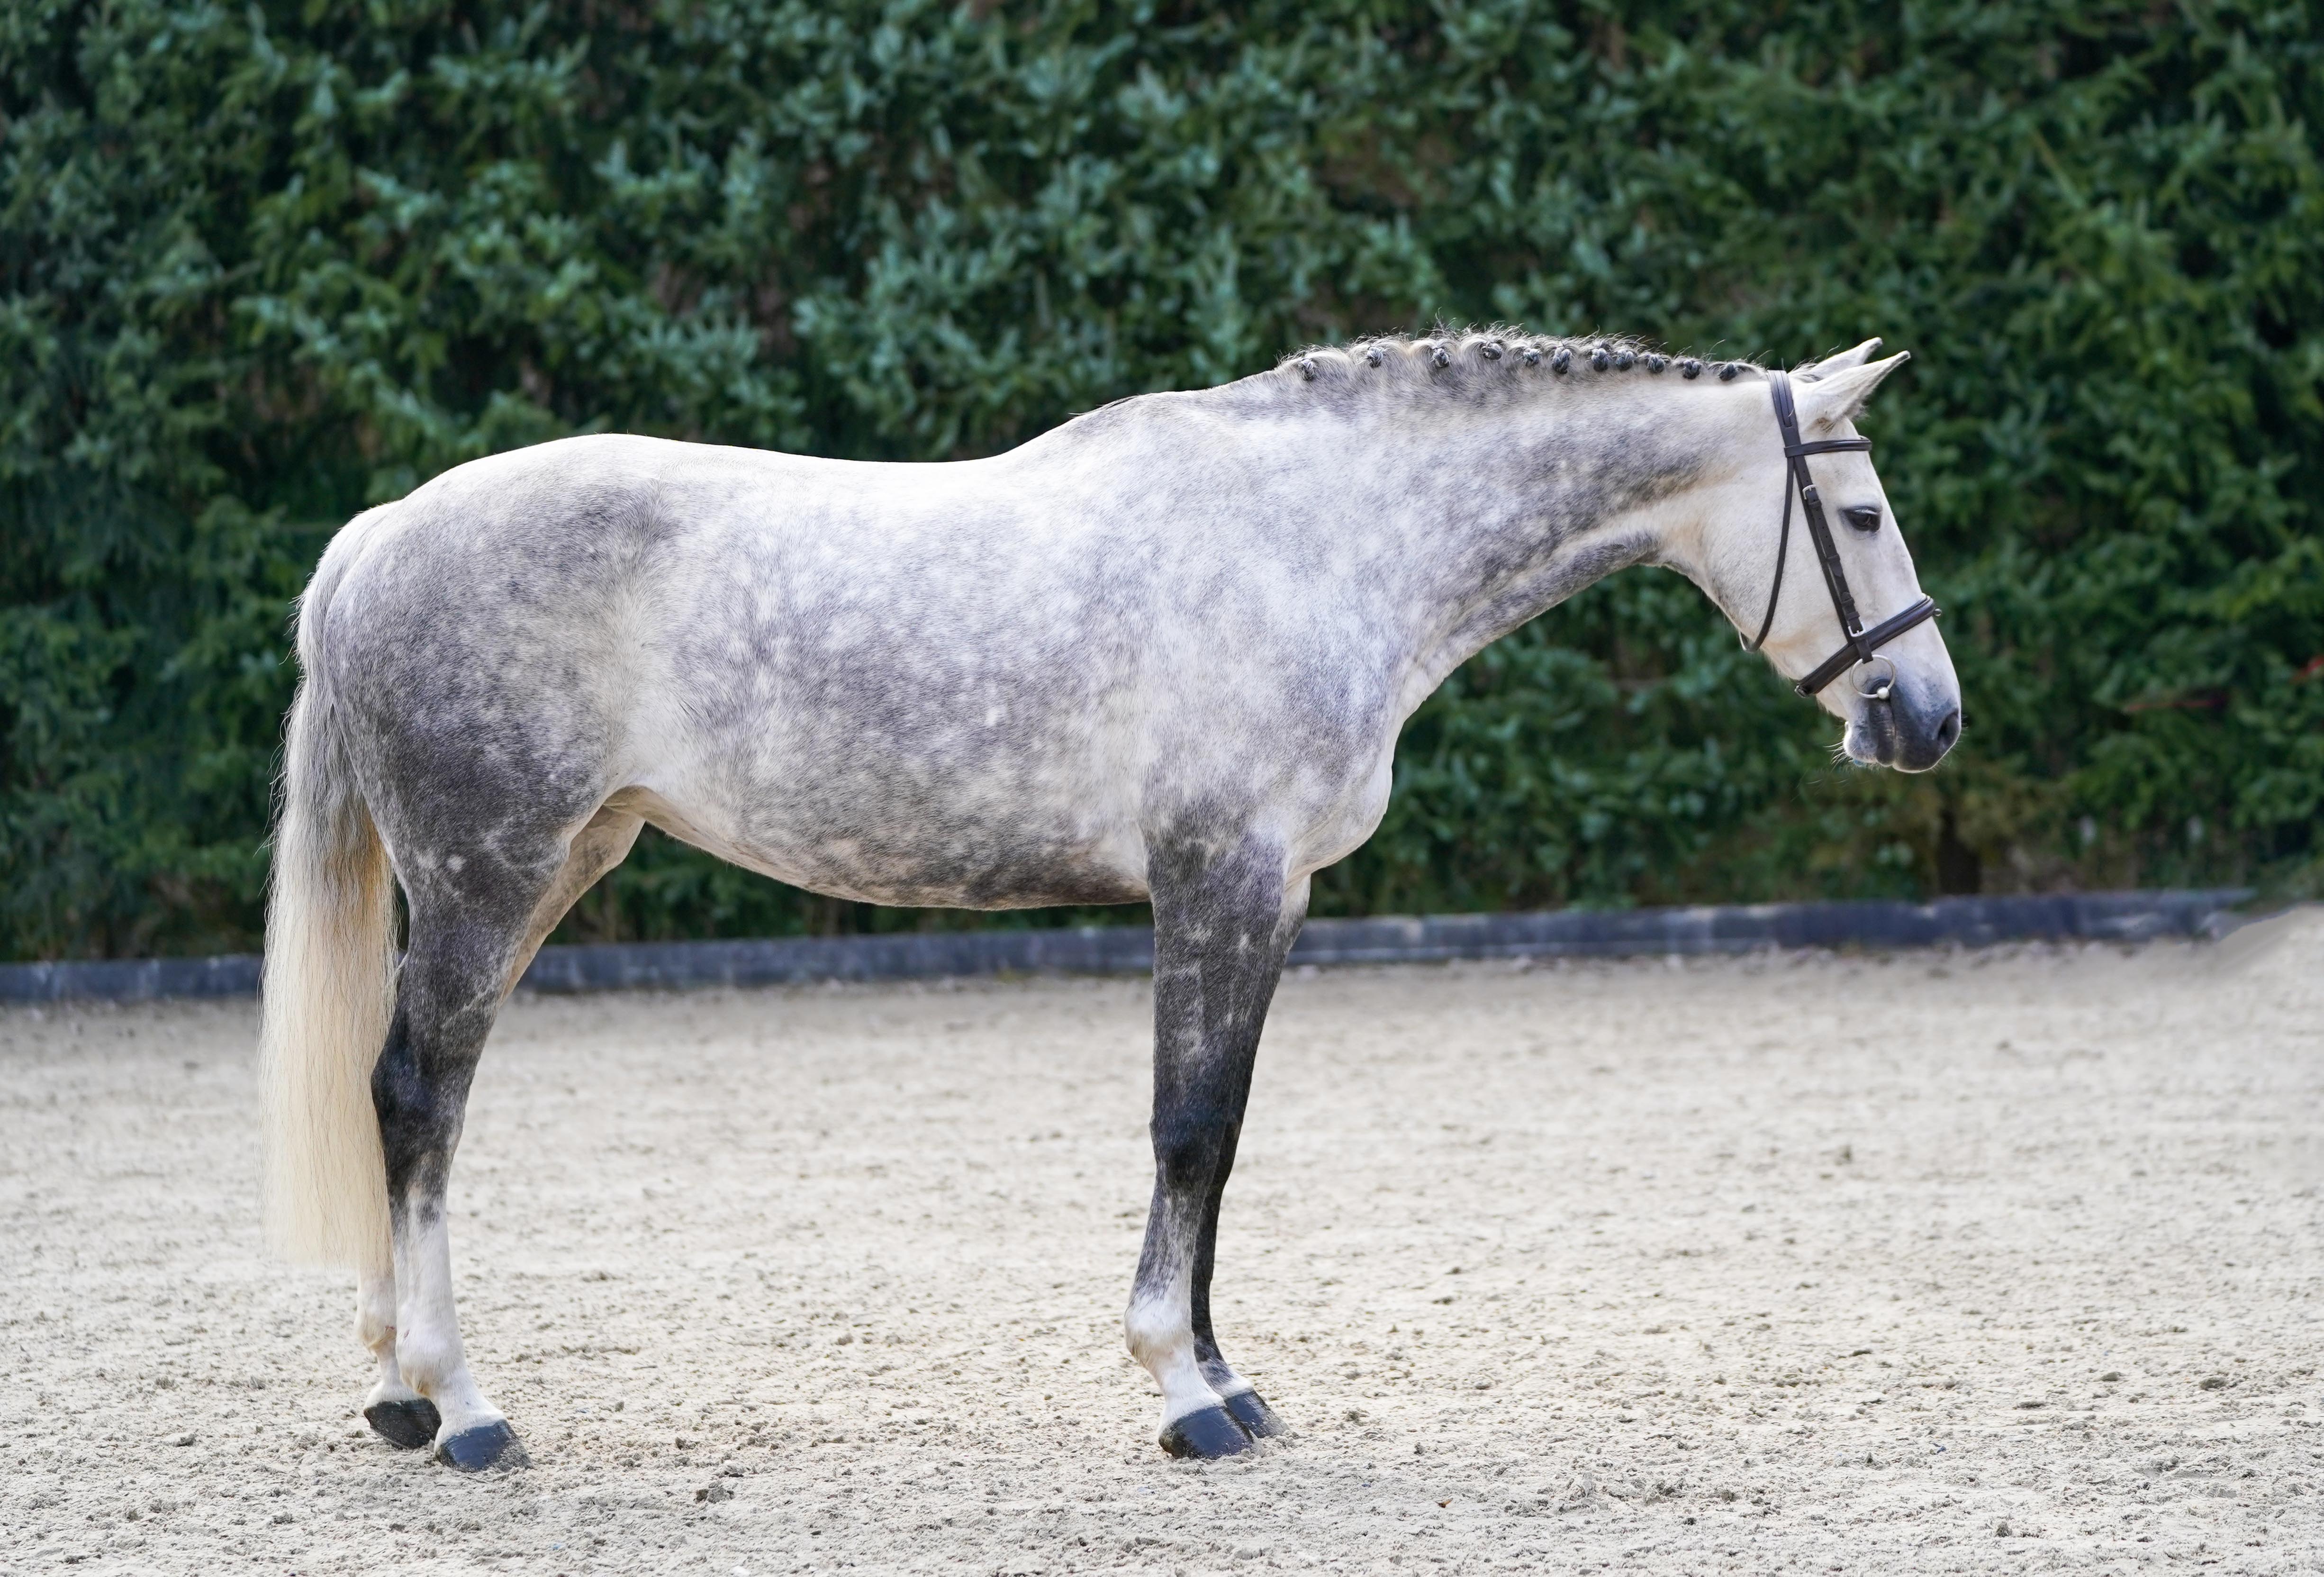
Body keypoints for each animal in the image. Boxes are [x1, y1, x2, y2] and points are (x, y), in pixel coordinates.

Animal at [259, 329, 1960, 1470]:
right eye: (1864, 516)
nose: (1929, 718)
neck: (1318, 545)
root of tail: (373, 540)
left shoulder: (1263, 900)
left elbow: (1222, 1135)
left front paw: (1227, 1378)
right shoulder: (1223, 881)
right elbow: (1189, 1126)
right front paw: (1185, 1393)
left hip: (556, 868)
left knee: (412, 1102)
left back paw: (396, 1386)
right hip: (488, 879)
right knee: (416, 1096)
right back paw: (464, 1409)